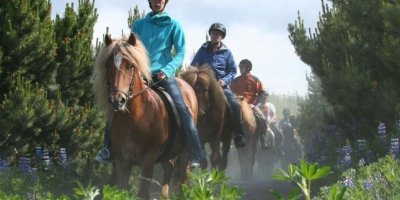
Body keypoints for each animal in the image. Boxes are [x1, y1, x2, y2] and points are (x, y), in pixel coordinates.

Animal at [92, 33, 197, 200]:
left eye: (130, 65)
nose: (117, 100)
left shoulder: (148, 161)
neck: (135, 119)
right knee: (168, 173)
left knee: (182, 179)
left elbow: (143, 193)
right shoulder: (122, 162)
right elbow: (121, 190)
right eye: (108, 65)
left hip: (184, 154)